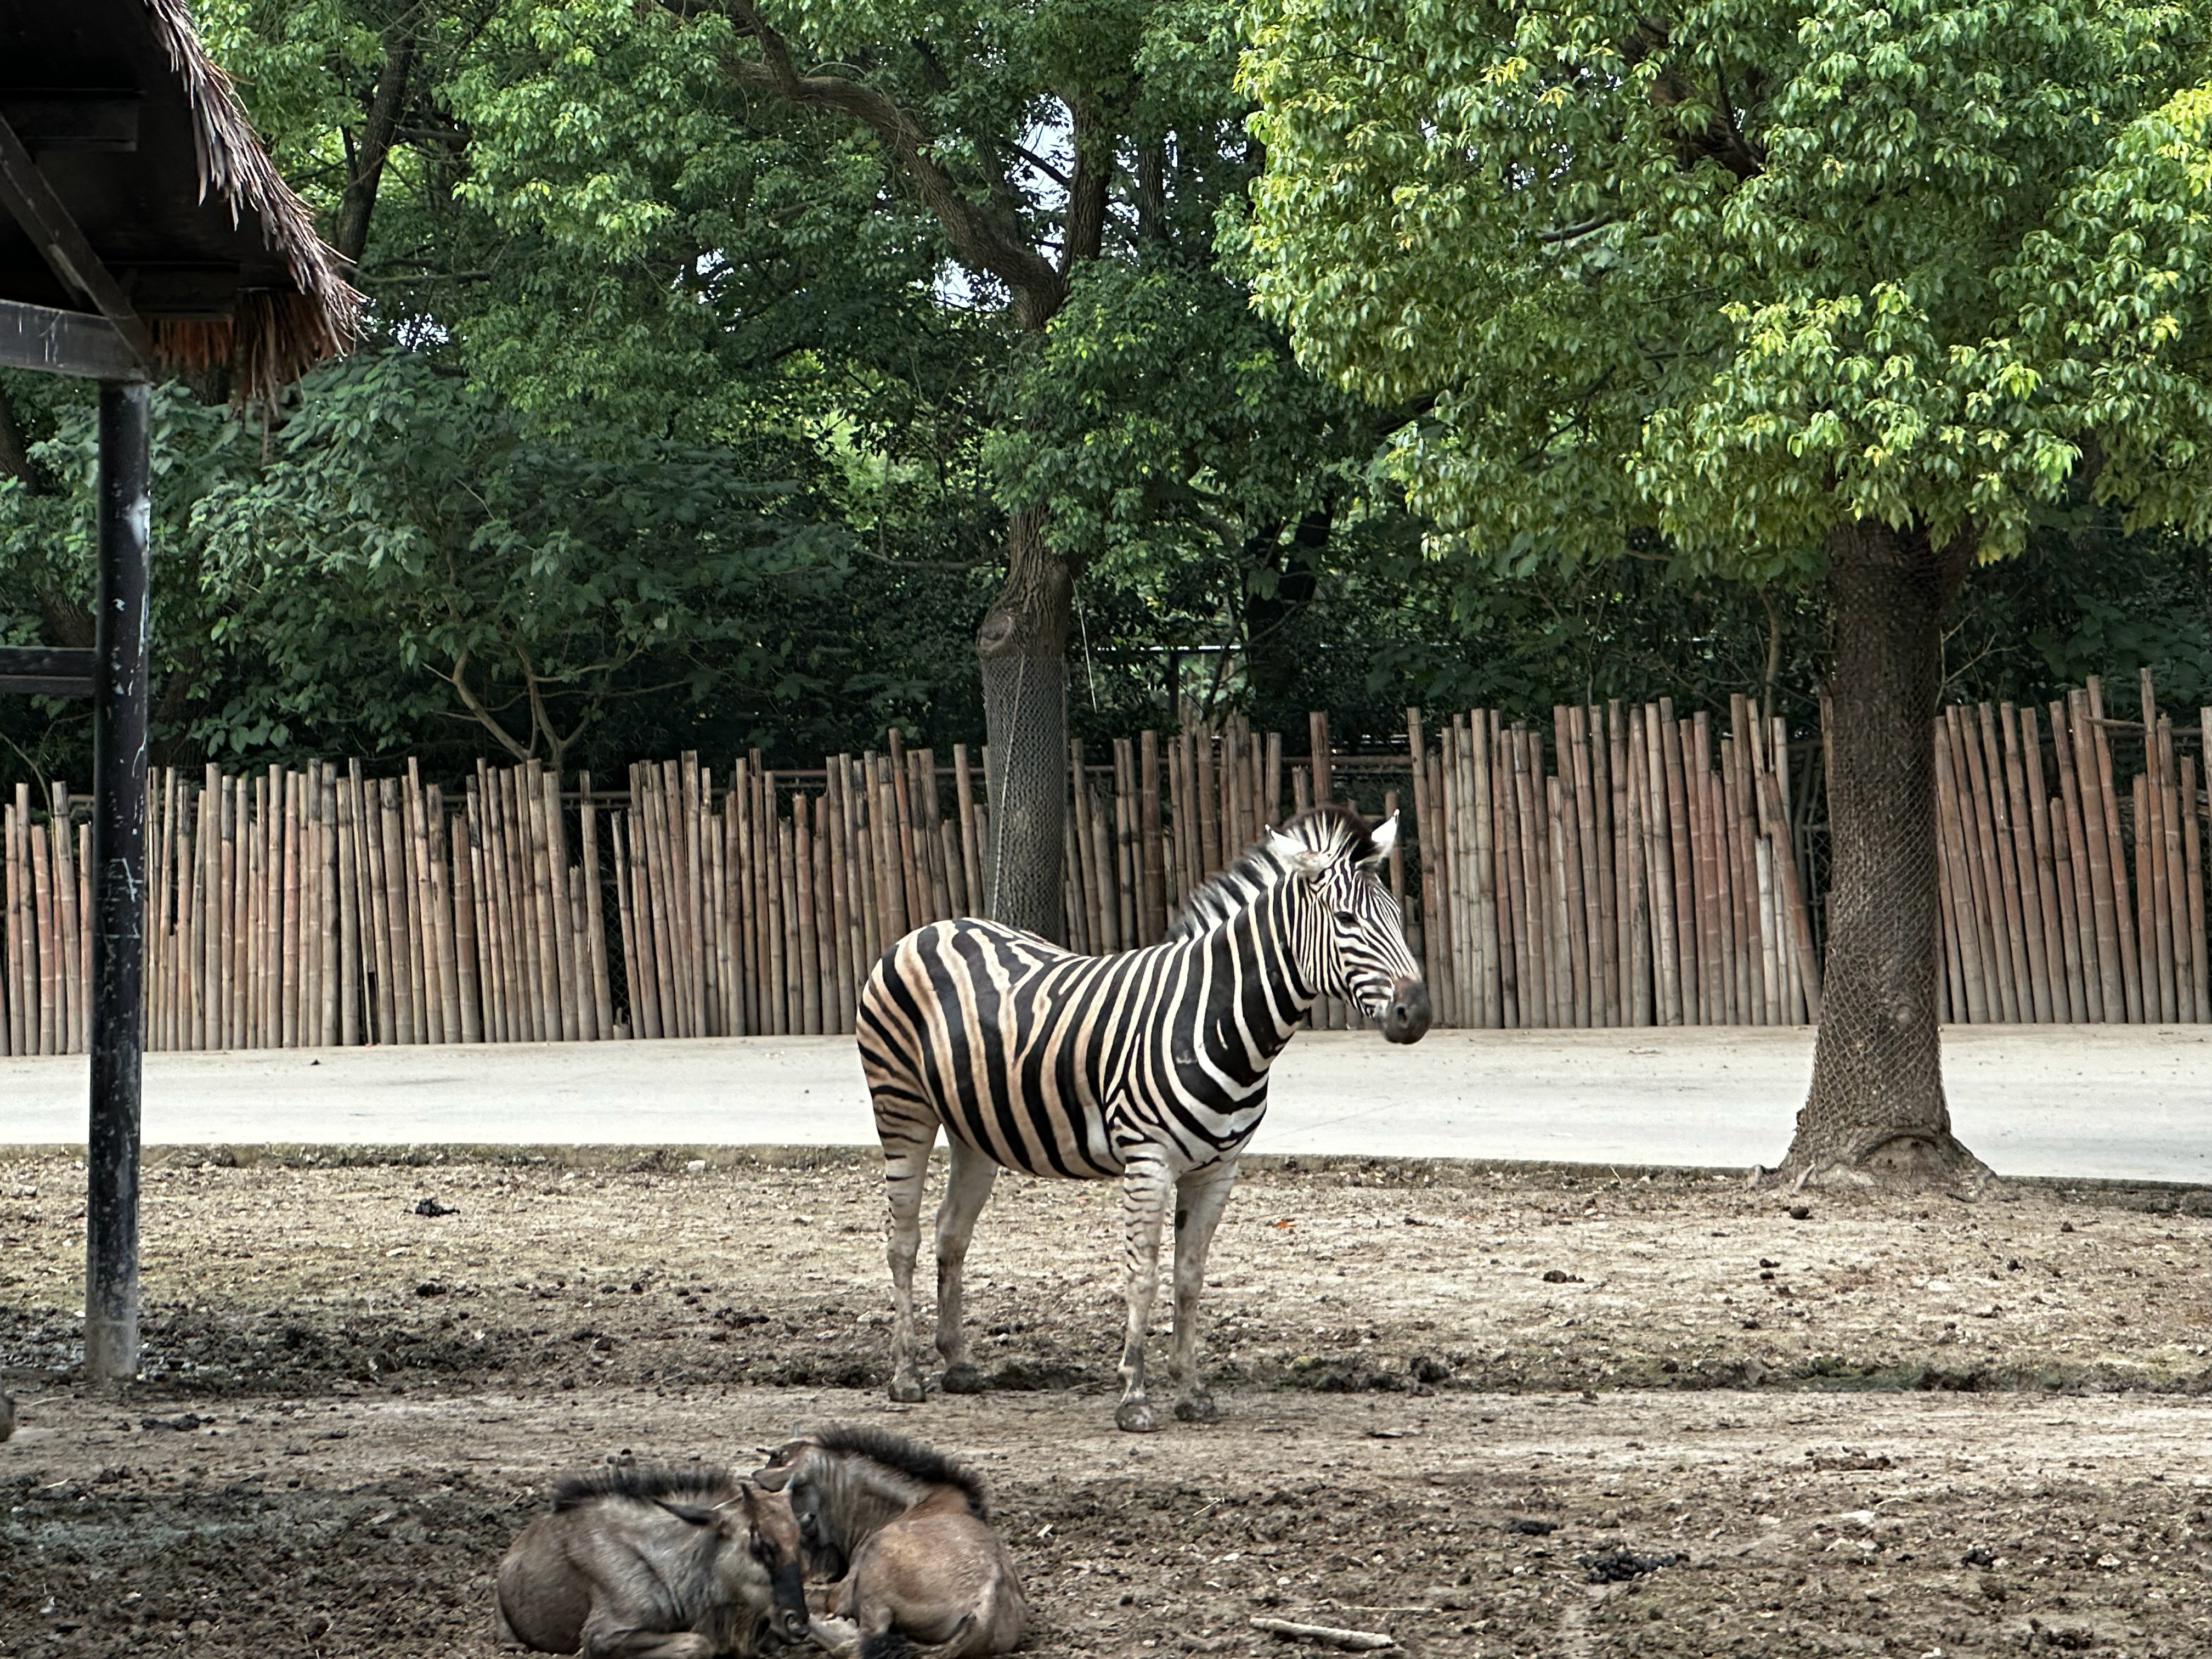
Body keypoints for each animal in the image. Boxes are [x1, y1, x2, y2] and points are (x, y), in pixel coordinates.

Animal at [854, 800, 1424, 1433]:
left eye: (1396, 916)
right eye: (1346, 918)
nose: (1417, 1014)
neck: (1219, 1018)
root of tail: (931, 928)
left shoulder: (1219, 1169)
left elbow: (1190, 1276)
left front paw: (1192, 1390)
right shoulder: (1149, 1161)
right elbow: (1143, 1274)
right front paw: (1135, 1397)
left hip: (974, 1129)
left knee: (951, 1233)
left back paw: (956, 1363)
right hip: (902, 1107)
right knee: (901, 1239)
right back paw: (906, 1376)